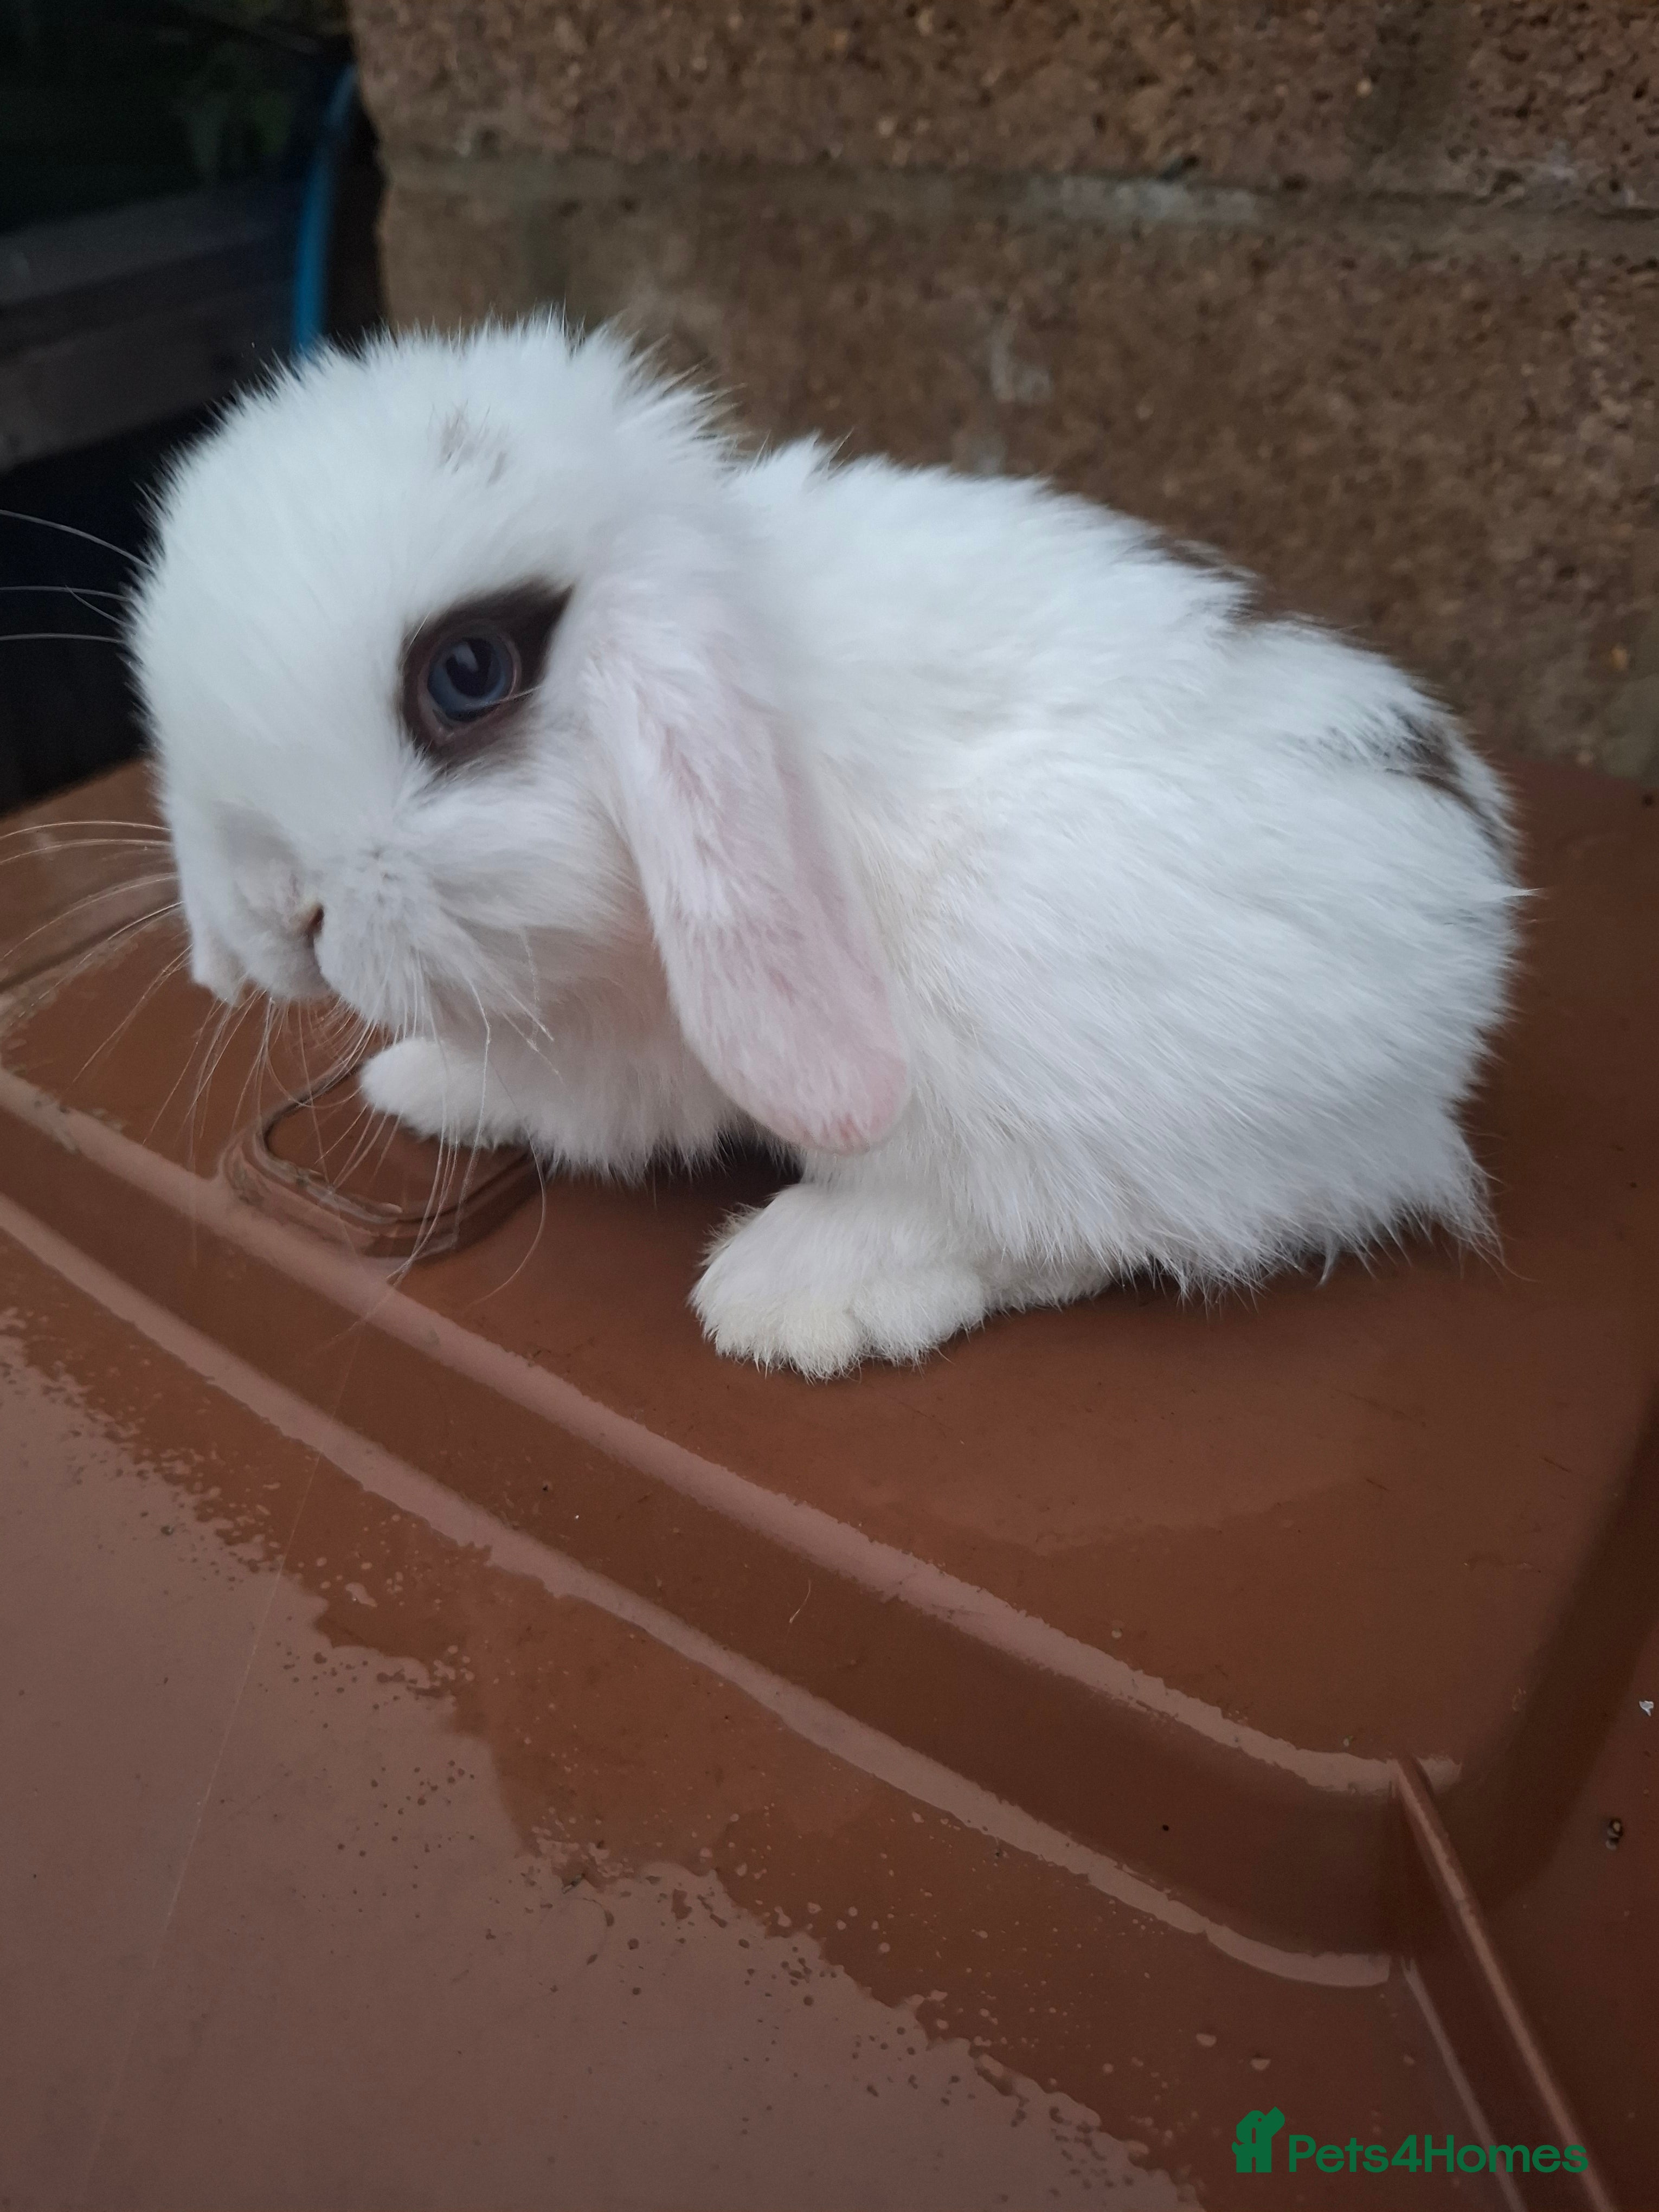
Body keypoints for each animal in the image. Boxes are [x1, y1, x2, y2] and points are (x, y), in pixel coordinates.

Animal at [131, 317, 1522, 1379]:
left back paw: (794, 1289)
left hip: (1037, 1023)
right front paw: (419, 1082)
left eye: (466, 673)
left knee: (1081, 1221)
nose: (272, 914)